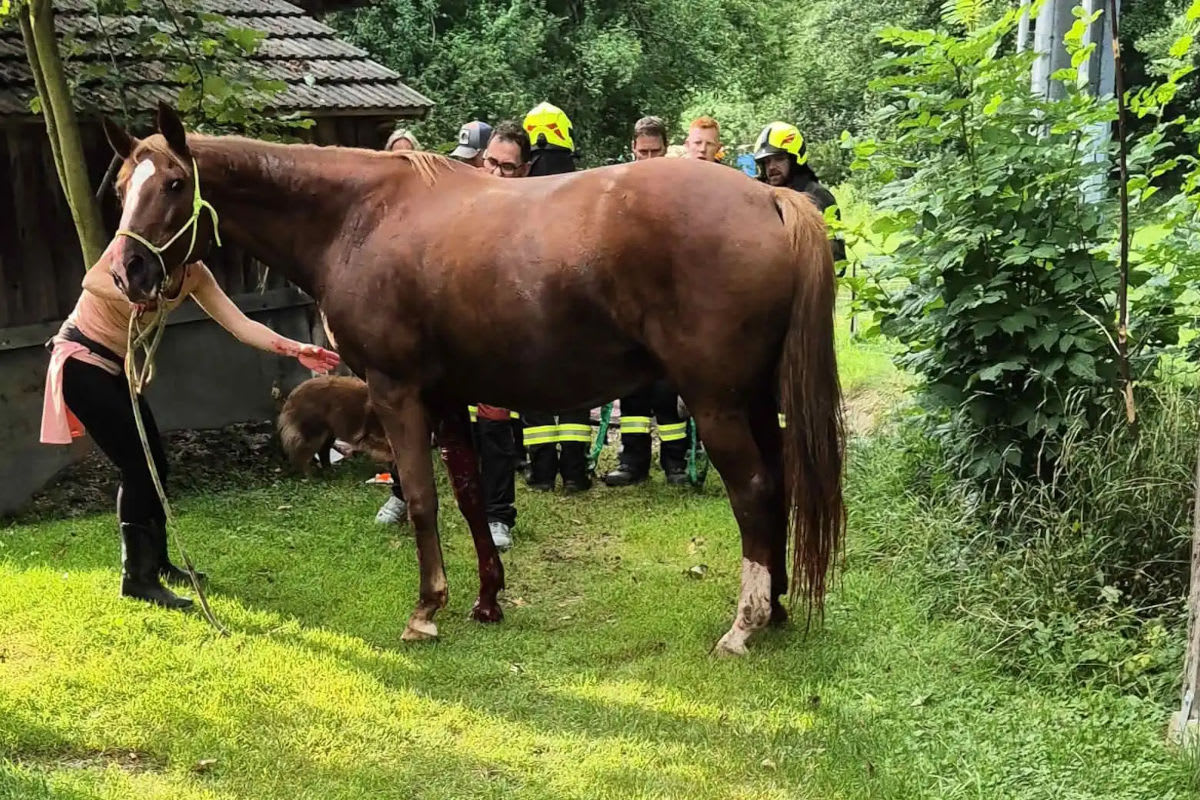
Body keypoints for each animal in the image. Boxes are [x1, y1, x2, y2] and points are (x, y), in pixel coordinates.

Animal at [97, 104, 845, 656]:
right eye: (121, 189)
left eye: (172, 185)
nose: (126, 273)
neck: (359, 218)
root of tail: (771, 198)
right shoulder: (449, 396)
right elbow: (468, 494)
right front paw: (487, 599)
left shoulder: (398, 393)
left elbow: (423, 499)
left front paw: (427, 609)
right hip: (754, 401)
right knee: (778, 483)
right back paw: (775, 608)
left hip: (717, 403)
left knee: (754, 491)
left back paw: (745, 624)